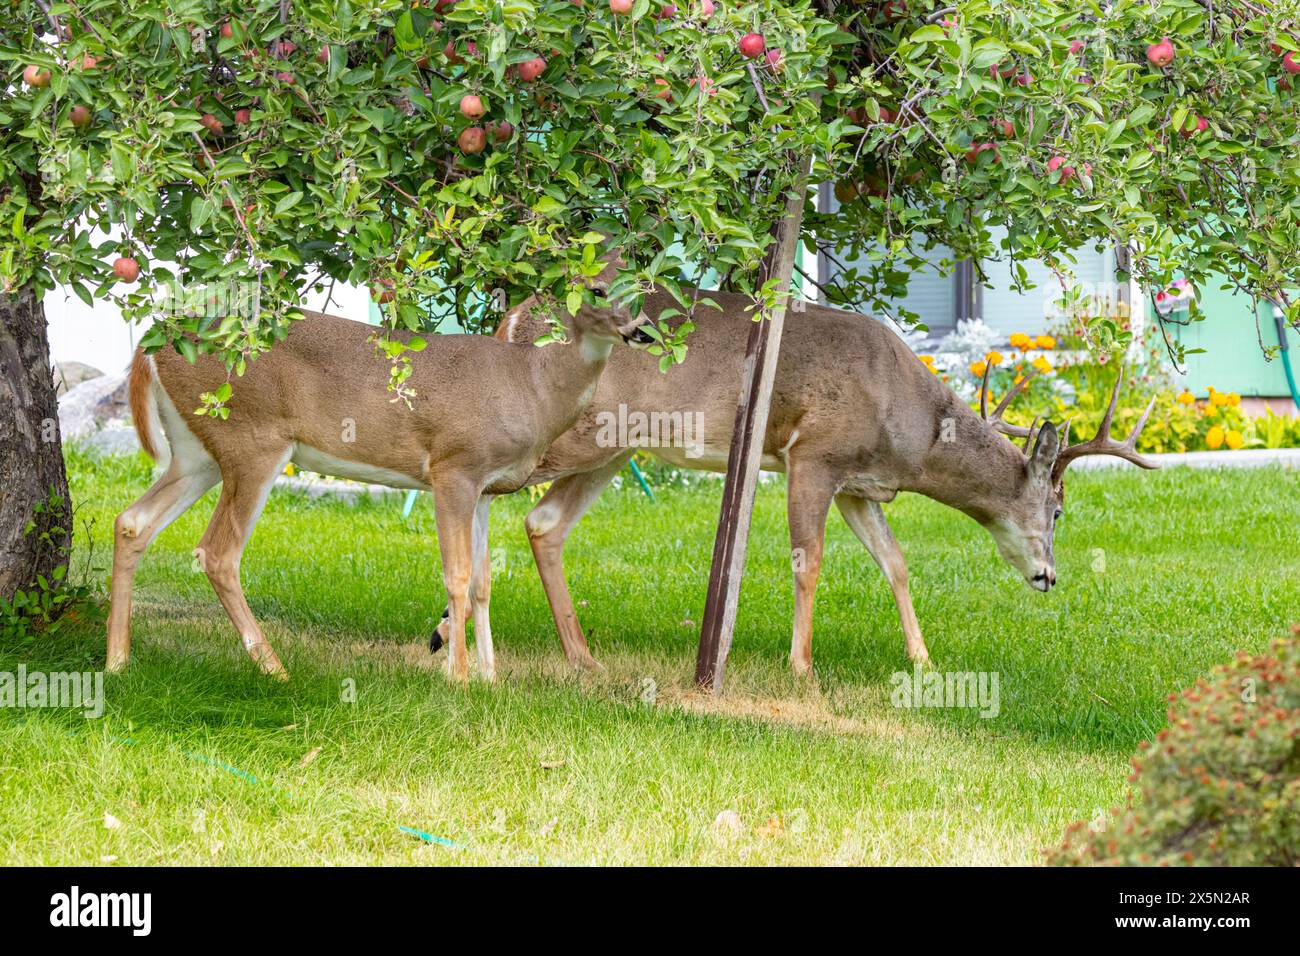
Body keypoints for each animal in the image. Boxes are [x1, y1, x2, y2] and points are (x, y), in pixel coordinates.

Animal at [109, 280, 642, 686]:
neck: (528, 385)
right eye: (597, 290)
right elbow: (459, 575)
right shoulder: (453, 466)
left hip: (196, 453)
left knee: (132, 521)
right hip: (252, 440)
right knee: (217, 553)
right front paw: (461, 679)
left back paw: (118, 660)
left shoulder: (484, 489)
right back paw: (276, 670)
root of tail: (152, 343)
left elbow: (484, 580)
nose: (640, 331)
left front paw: (489, 679)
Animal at [444, 287, 1159, 676]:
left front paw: (922, 659)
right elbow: (807, 562)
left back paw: (579, 656)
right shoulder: (813, 454)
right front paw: (802, 666)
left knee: (542, 522)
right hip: (573, 435)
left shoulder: (858, 486)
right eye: (1058, 511)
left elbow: (896, 562)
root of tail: (514, 317)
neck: (907, 427)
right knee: (477, 490)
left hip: (616, 449)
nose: (1049, 577)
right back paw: (459, 640)